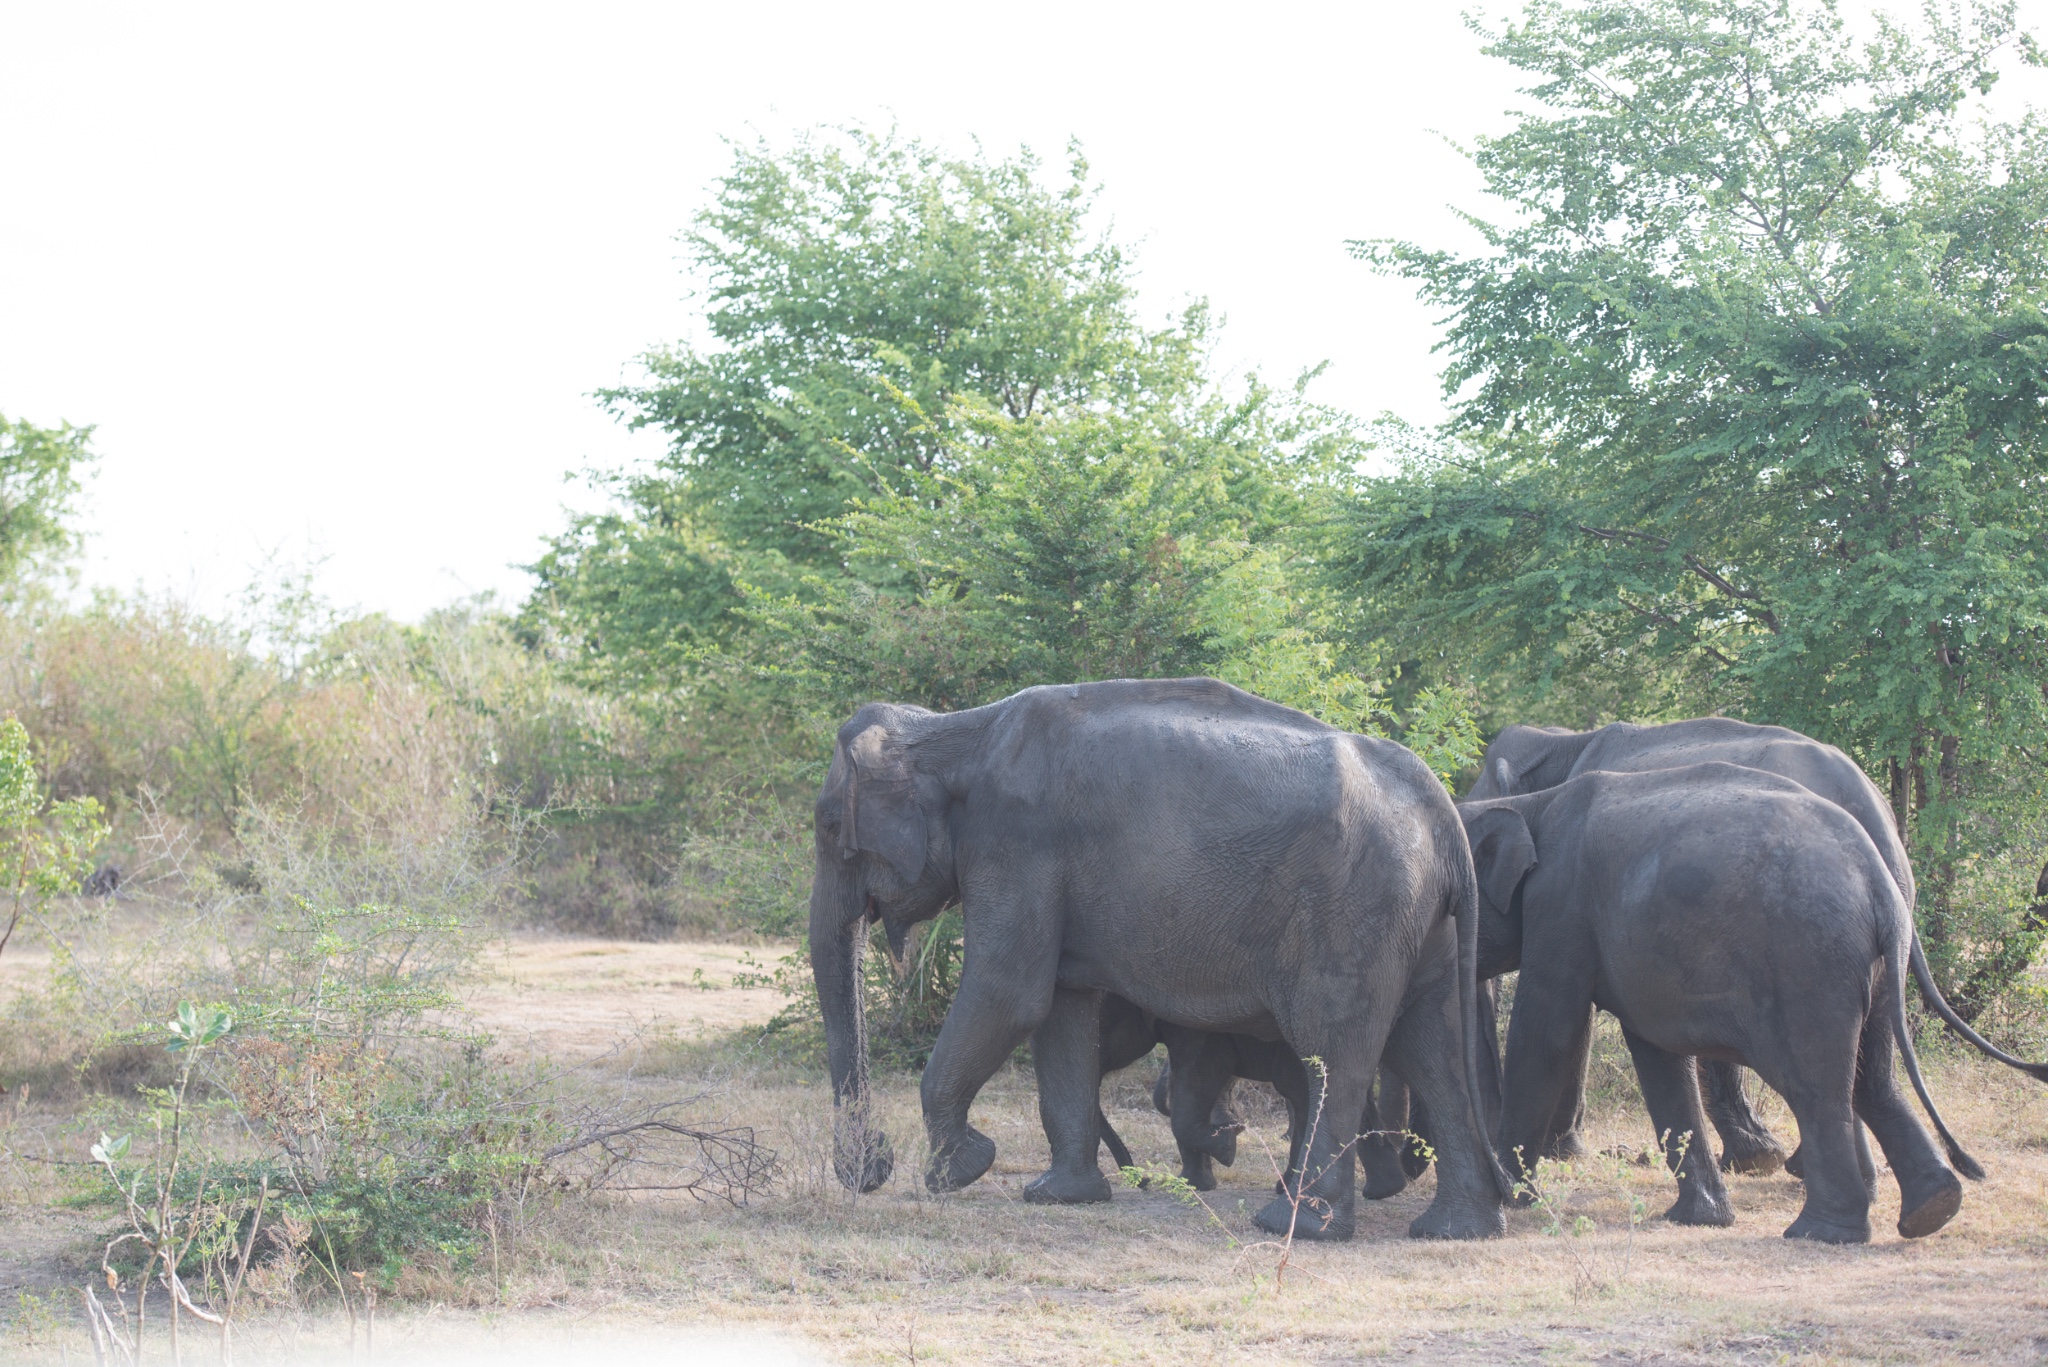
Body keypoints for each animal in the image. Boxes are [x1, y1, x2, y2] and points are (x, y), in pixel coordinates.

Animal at [806, 676, 1515, 1237]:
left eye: (828, 827)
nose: (872, 1165)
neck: (949, 728)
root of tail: (1442, 811)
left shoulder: (1014, 843)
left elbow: (1011, 994)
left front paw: (959, 1172)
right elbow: (1059, 1012)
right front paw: (1061, 1198)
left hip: (1354, 912)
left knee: (1332, 1050)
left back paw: (1294, 1227)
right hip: (1418, 919)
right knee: (1432, 1046)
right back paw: (1455, 1230)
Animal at [1466, 766, 1974, 1246]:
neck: (1532, 804)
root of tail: (1881, 884)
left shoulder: (1559, 906)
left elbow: (1545, 1034)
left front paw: (1510, 1194)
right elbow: (1657, 1056)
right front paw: (1701, 1218)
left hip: (1809, 965)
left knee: (1817, 1089)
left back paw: (1819, 1232)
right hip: (1876, 971)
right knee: (1874, 1081)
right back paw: (1934, 1208)